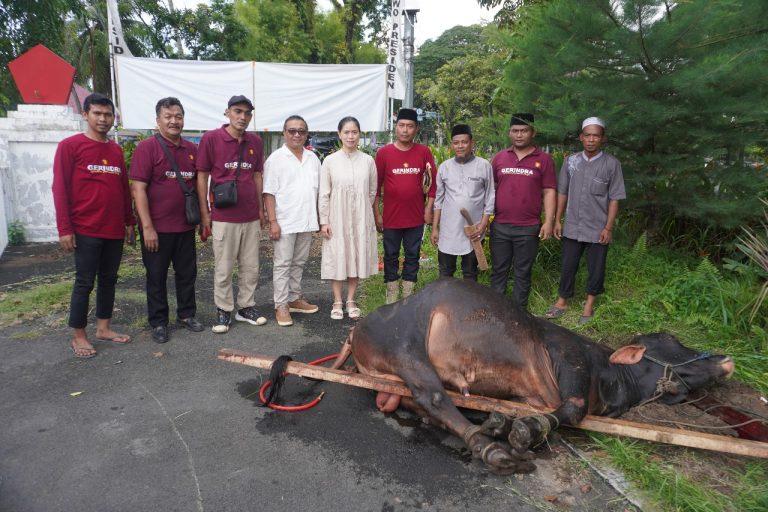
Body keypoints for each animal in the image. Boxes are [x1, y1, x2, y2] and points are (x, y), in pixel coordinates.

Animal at [268, 278, 736, 474]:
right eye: (669, 339)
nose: (726, 359)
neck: (611, 377)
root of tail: (357, 326)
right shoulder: (570, 366)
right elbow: (568, 410)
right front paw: (524, 431)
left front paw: (507, 422)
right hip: (408, 348)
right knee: (434, 399)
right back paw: (492, 449)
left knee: (416, 403)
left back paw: (490, 426)